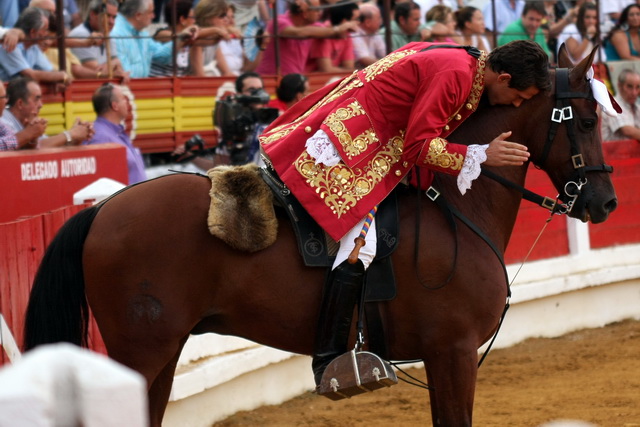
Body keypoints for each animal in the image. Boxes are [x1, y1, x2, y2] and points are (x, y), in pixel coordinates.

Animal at [23, 47, 616, 427]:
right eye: (587, 121)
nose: (606, 203)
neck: (457, 208)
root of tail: (103, 208)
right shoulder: (453, 352)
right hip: (142, 351)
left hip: (160, 356)